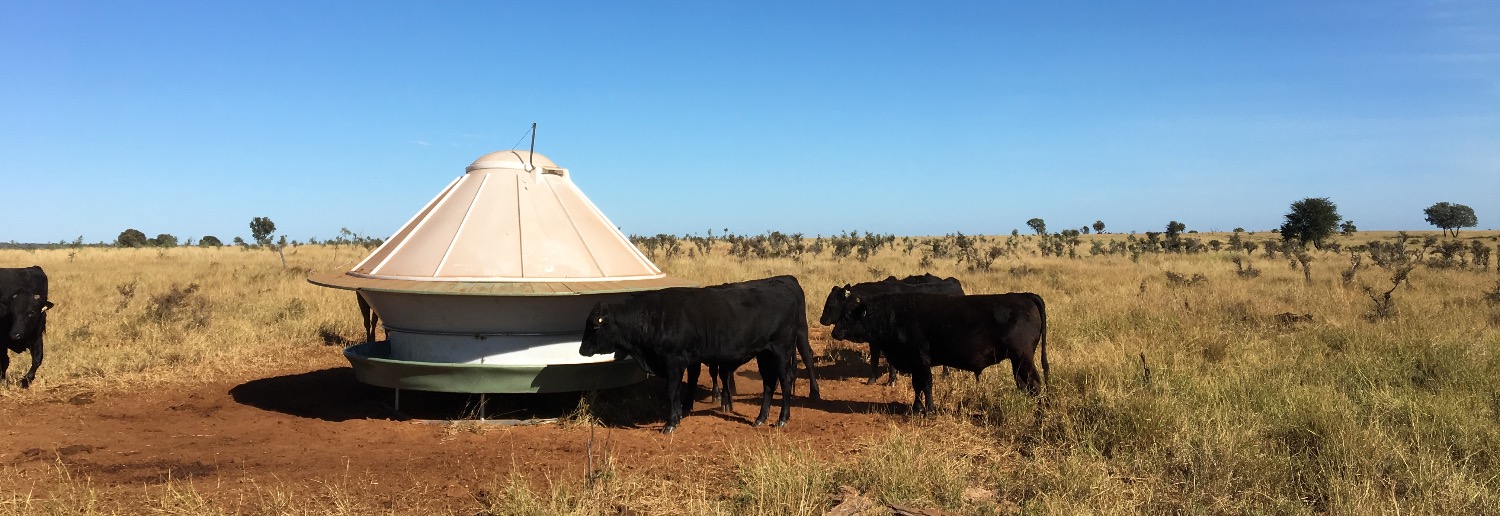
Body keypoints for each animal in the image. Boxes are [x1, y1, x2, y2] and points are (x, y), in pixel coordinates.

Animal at [579, 275, 819, 433]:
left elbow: (672, 391)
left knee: (785, 380)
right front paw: (679, 415)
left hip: (781, 349)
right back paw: (760, 418)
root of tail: (783, 283)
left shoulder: (674, 362)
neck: (652, 317)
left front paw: (670, 423)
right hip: (764, 353)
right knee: (769, 382)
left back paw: (782, 419)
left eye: (594, 325)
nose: (581, 350)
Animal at [820, 274, 964, 384]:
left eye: (831, 302)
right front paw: (872, 380)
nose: (822, 320)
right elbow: (874, 359)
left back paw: (945, 374)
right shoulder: (874, 342)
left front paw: (892, 380)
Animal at [832, 291, 1048, 415]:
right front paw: (916, 408)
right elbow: (917, 386)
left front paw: (929, 410)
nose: (835, 332)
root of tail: (1024, 295)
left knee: (1035, 384)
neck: (894, 314)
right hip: (1017, 360)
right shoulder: (914, 364)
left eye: (848, 313)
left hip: (1023, 357)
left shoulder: (921, 360)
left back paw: (1040, 413)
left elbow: (926, 385)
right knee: (1024, 384)